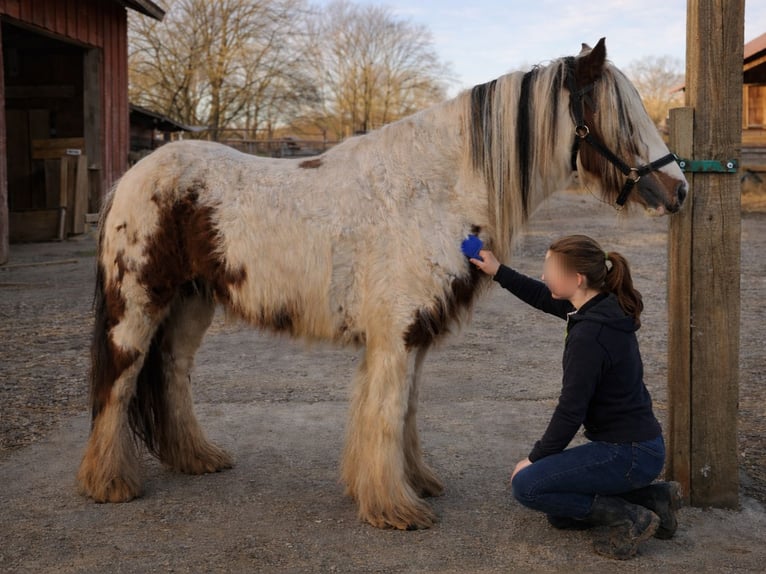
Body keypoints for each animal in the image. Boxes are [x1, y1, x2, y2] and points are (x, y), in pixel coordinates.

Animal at [77, 38, 688, 530]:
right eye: (620, 116)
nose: (678, 189)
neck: (432, 191)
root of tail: (131, 177)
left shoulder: (413, 334)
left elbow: (407, 412)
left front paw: (413, 484)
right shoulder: (395, 336)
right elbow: (389, 413)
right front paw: (396, 508)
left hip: (190, 305)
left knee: (173, 374)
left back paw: (197, 458)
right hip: (139, 305)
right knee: (120, 380)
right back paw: (108, 483)